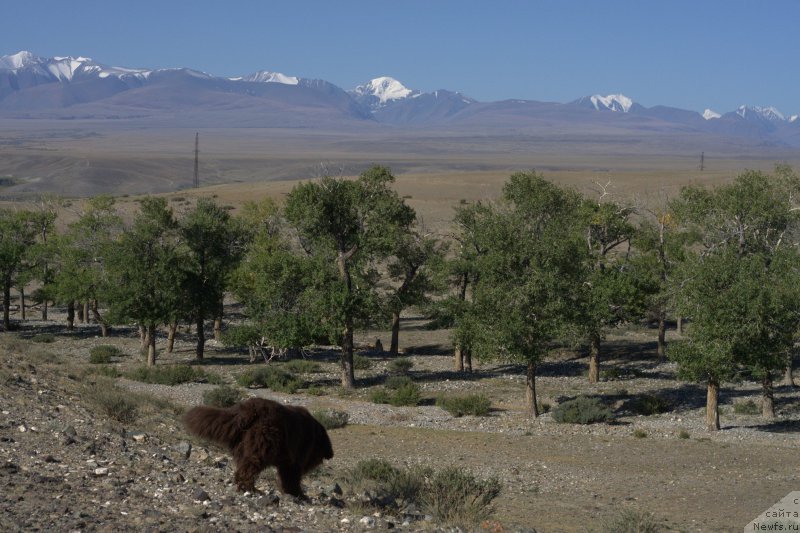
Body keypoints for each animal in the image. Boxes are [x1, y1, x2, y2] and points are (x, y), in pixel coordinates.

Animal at [185, 396, 334, 496]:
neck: (315, 434)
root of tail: (249, 410)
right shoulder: (294, 460)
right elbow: (291, 476)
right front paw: (296, 493)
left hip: (242, 445)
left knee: (243, 466)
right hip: (262, 445)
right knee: (249, 468)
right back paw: (248, 488)